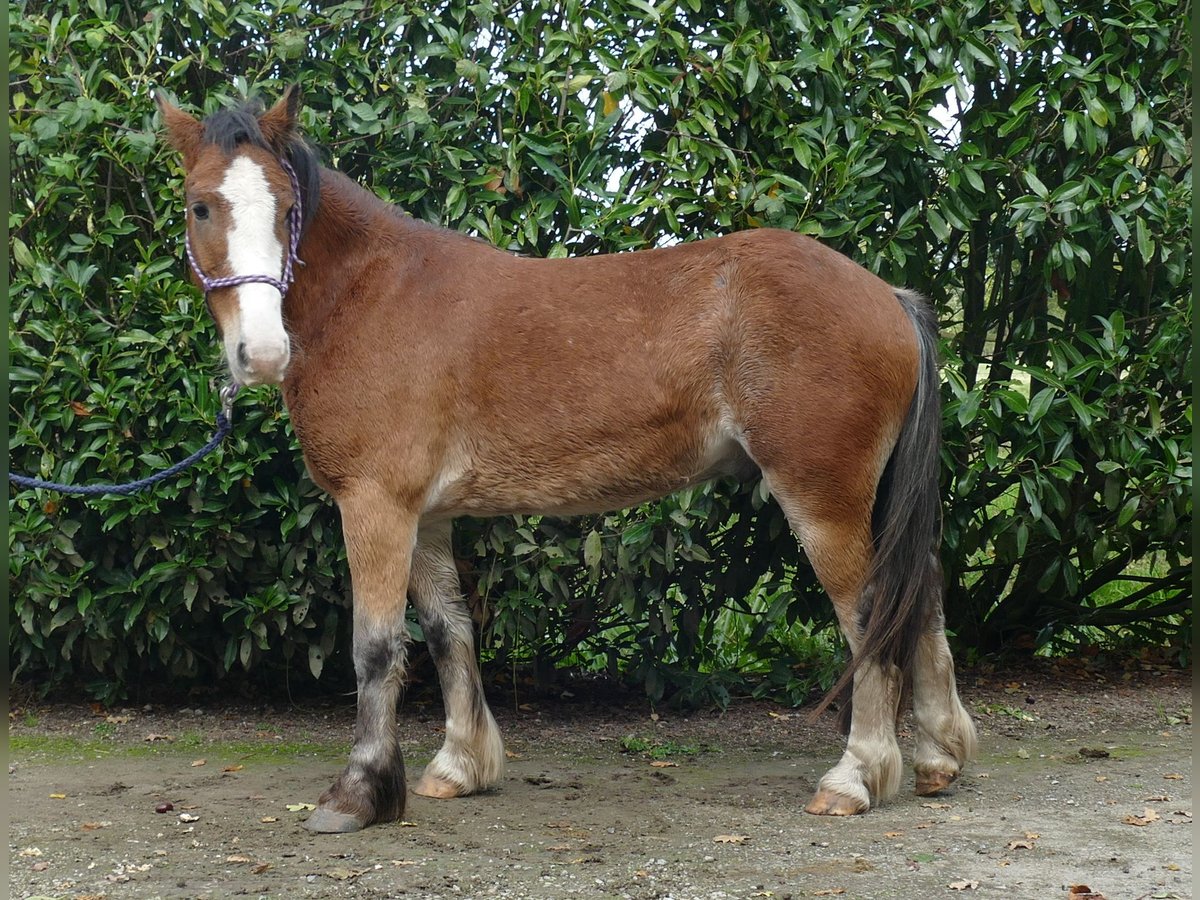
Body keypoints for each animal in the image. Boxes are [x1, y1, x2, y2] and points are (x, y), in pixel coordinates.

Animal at [154, 88, 974, 835]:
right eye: (201, 208)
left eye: (287, 210)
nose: (260, 353)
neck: (372, 293)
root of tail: (887, 295)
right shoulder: (426, 515)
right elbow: (450, 631)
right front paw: (459, 767)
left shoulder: (376, 505)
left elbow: (378, 649)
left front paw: (358, 793)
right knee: (925, 599)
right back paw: (938, 757)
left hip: (822, 497)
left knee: (870, 616)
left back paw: (857, 776)